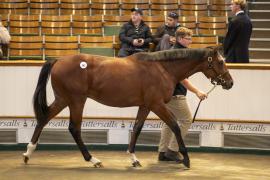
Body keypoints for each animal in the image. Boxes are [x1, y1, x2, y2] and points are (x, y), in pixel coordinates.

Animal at [23, 46, 233, 169]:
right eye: (220, 62)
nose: (230, 83)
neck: (162, 69)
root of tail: (58, 60)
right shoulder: (157, 105)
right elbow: (174, 125)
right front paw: (186, 159)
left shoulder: (146, 105)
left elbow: (137, 128)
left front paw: (134, 159)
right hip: (75, 101)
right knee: (74, 128)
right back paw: (93, 159)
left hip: (63, 100)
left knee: (43, 118)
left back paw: (28, 153)